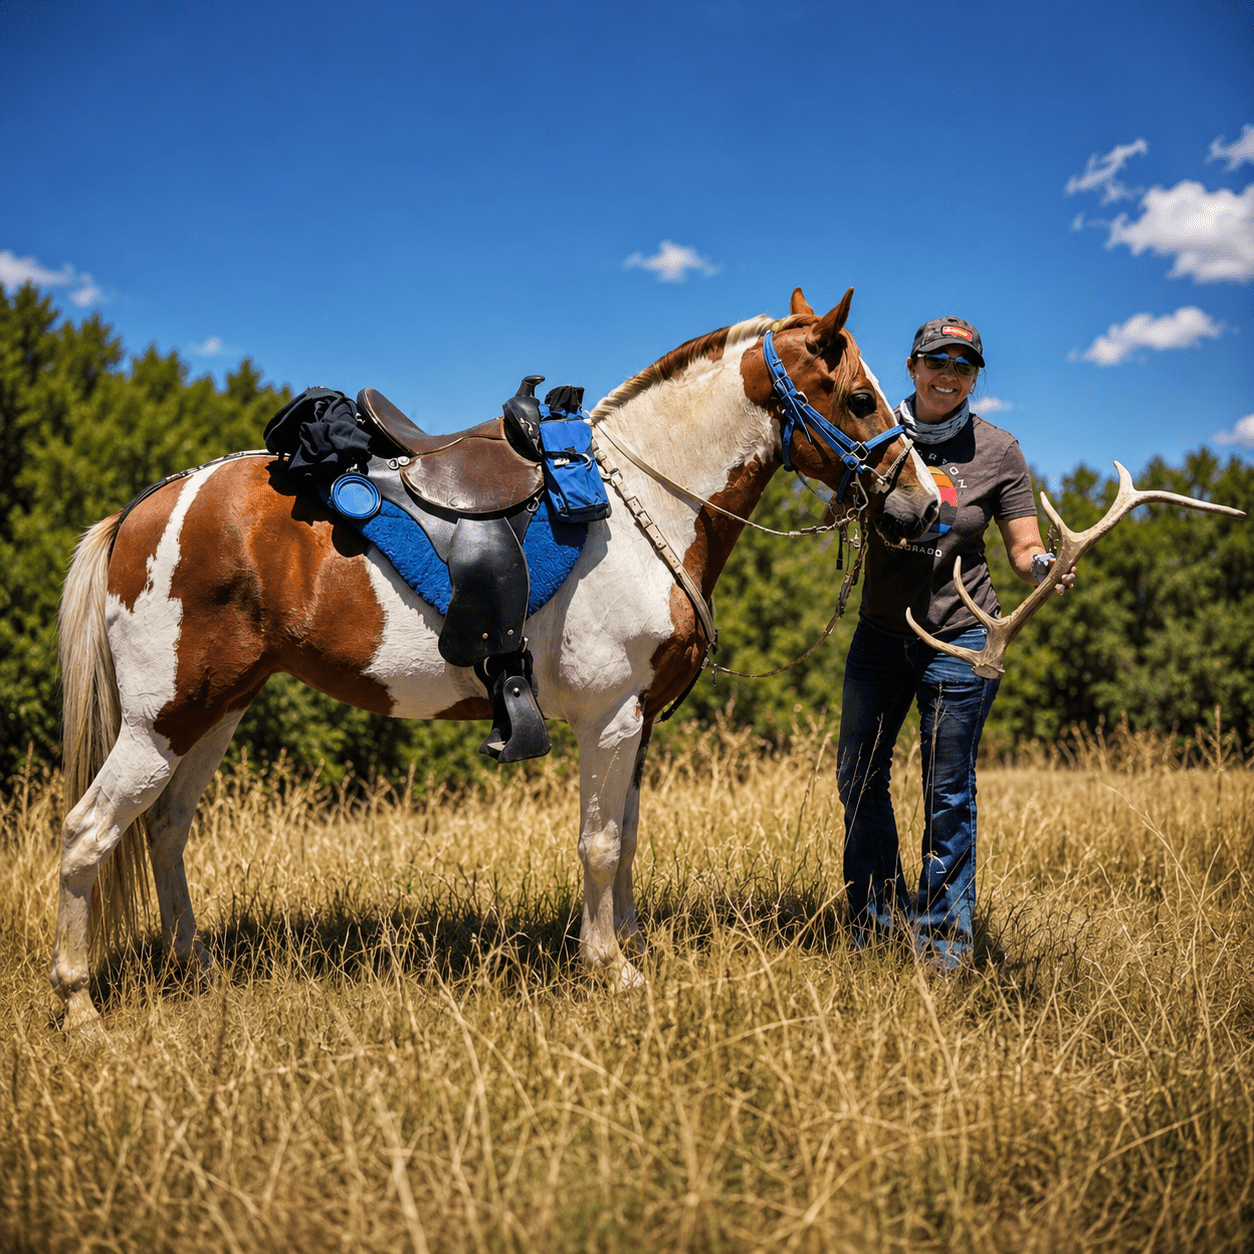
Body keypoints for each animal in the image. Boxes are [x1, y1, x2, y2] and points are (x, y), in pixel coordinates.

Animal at [53, 287, 941, 1028]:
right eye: (860, 398)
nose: (927, 506)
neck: (643, 505)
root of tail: (146, 507)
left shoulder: (639, 725)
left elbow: (626, 834)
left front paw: (630, 943)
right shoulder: (610, 720)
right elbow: (599, 844)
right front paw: (609, 967)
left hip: (215, 712)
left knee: (165, 829)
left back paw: (196, 967)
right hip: (162, 721)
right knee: (88, 833)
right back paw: (79, 1006)